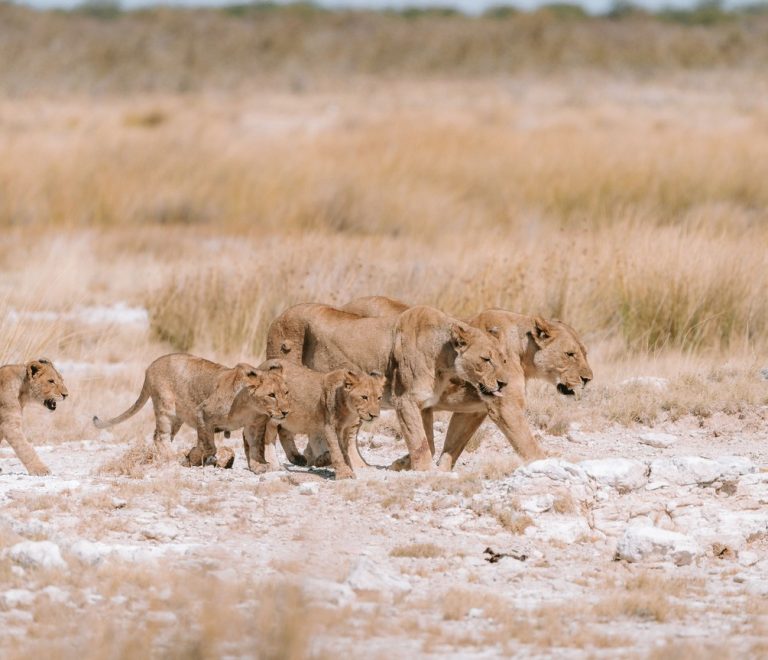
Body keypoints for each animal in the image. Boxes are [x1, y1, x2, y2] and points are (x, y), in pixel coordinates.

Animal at [92, 353, 294, 467]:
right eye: (272, 395)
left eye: (286, 392)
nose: (286, 412)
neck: (250, 407)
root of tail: (150, 366)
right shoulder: (203, 413)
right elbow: (208, 446)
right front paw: (192, 456)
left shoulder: (254, 425)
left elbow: (255, 446)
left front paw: (260, 466)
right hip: (166, 408)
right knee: (160, 436)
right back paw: (173, 457)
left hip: (177, 418)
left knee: (161, 437)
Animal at [219, 360, 385, 478]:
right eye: (364, 397)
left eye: (379, 398)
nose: (374, 415)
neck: (349, 410)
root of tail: (261, 366)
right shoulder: (330, 426)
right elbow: (337, 450)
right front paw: (344, 472)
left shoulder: (342, 429)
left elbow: (343, 450)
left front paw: (328, 461)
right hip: (273, 416)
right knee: (267, 438)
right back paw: (273, 464)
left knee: (283, 433)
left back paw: (296, 458)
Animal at [265, 304, 508, 471]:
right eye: (486, 359)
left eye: (503, 359)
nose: (504, 383)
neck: (444, 358)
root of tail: (277, 318)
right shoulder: (406, 400)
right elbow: (420, 443)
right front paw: (425, 471)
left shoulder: (423, 405)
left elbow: (427, 441)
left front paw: (401, 464)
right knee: (273, 424)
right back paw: (276, 462)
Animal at [341, 297, 593, 469]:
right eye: (570, 354)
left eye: (585, 353)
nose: (588, 379)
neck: (522, 352)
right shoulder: (506, 407)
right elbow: (528, 445)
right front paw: (546, 465)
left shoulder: (473, 411)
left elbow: (452, 446)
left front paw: (426, 468)